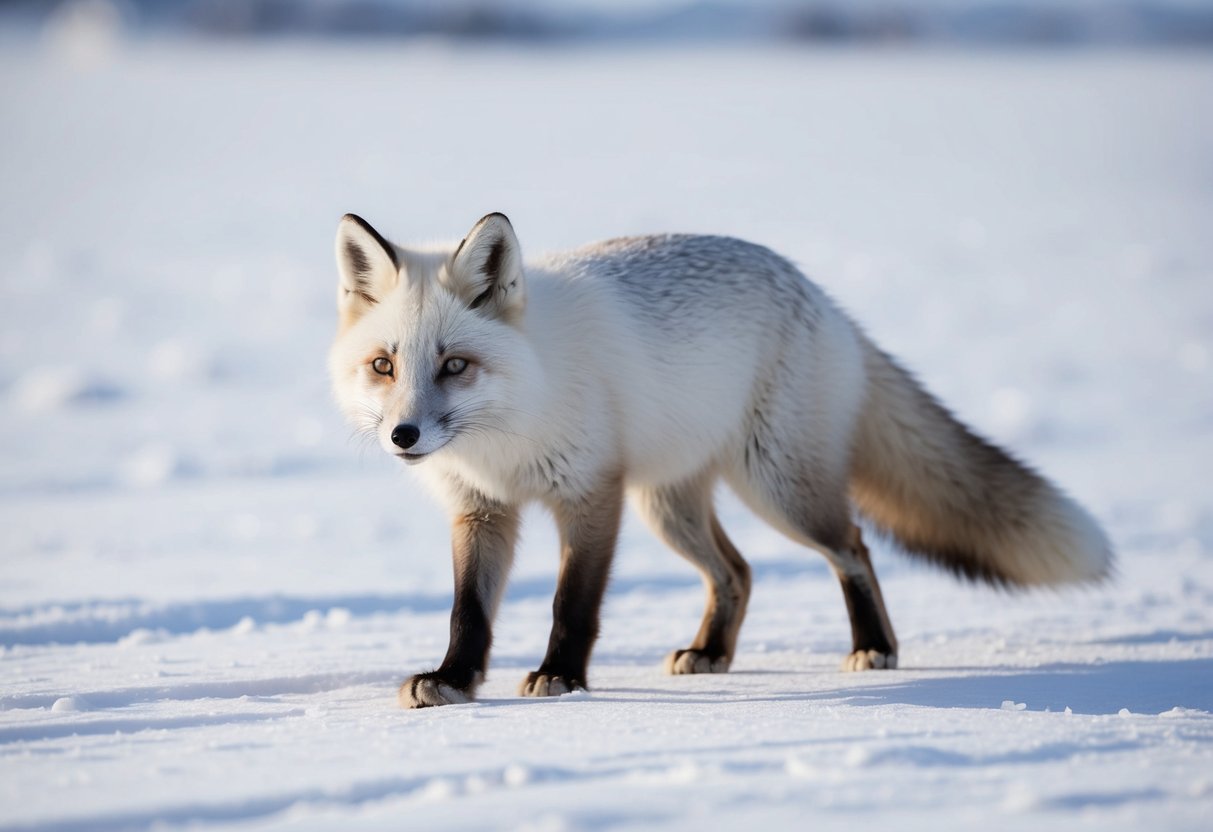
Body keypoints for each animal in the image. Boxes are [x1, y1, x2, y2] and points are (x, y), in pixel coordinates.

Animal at [328, 211, 1113, 708]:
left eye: (454, 365)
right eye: (384, 365)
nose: (404, 435)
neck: (509, 430)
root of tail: (821, 296)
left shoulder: (591, 494)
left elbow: (570, 604)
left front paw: (561, 678)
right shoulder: (482, 511)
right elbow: (469, 612)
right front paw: (454, 681)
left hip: (779, 490)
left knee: (853, 546)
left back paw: (873, 647)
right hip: (669, 507)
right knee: (738, 571)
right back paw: (710, 654)